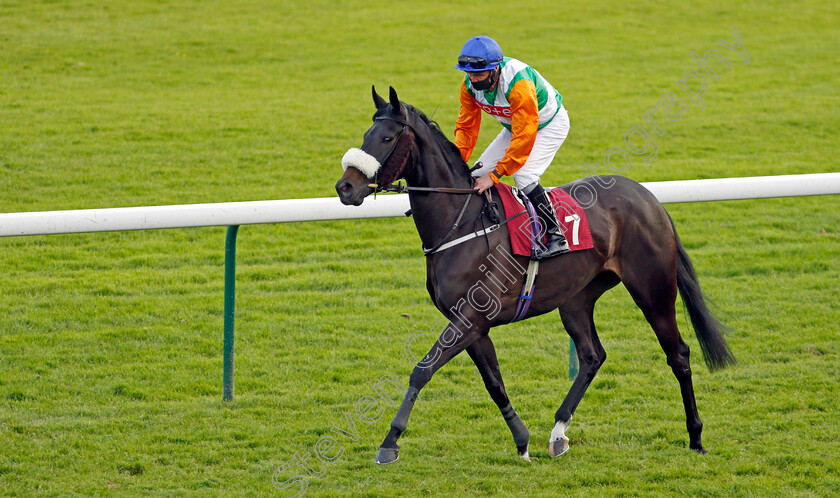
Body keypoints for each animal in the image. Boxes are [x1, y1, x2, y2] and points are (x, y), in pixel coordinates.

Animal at [334, 87, 736, 464]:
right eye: (367, 133)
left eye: (387, 138)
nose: (345, 187)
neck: (461, 222)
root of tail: (650, 198)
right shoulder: (473, 325)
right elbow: (494, 384)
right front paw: (522, 439)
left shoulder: (469, 319)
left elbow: (422, 369)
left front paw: (389, 443)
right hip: (577, 298)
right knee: (592, 356)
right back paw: (558, 432)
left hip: (653, 289)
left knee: (678, 354)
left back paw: (695, 436)